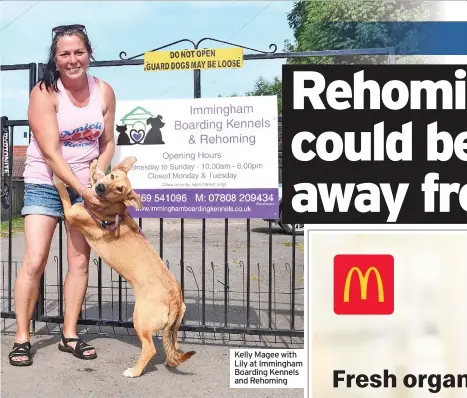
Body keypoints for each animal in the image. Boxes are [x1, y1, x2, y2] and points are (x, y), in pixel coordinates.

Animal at [54, 155, 195, 376]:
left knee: (150, 348)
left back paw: (134, 371)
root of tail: (175, 299)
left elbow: (63, 193)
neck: (112, 208)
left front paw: (59, 179)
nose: (101, 188)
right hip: (171, 329)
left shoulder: (70, 212)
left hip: (140, 319)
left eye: (120, 189)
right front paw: (94, 168)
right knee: (173, 347)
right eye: (112, 176)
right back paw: (170, 360)